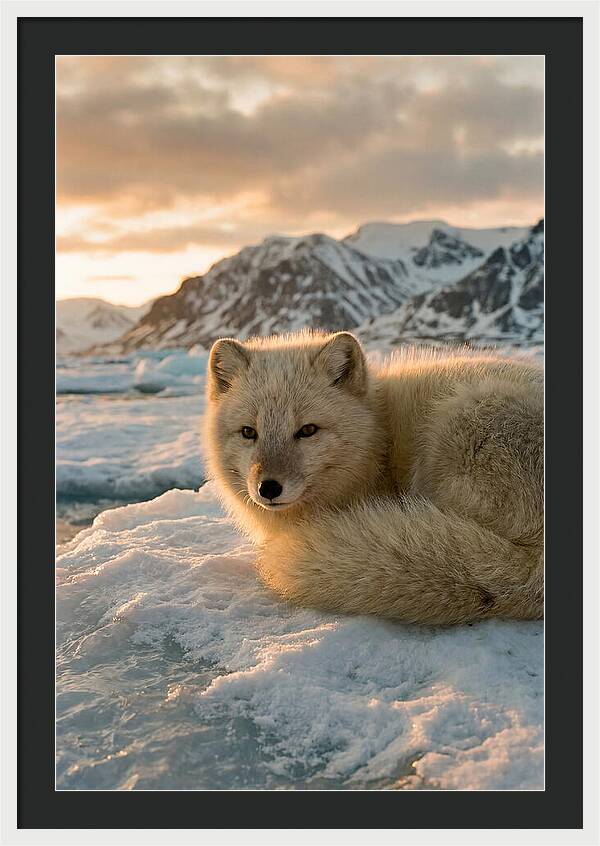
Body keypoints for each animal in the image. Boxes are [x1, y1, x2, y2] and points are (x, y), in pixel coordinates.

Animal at [204, 330, 543, 625]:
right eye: (249, 432)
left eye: (308, 430)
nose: (269, 488)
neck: (379, 437)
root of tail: (534, 568)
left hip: (459, 424)